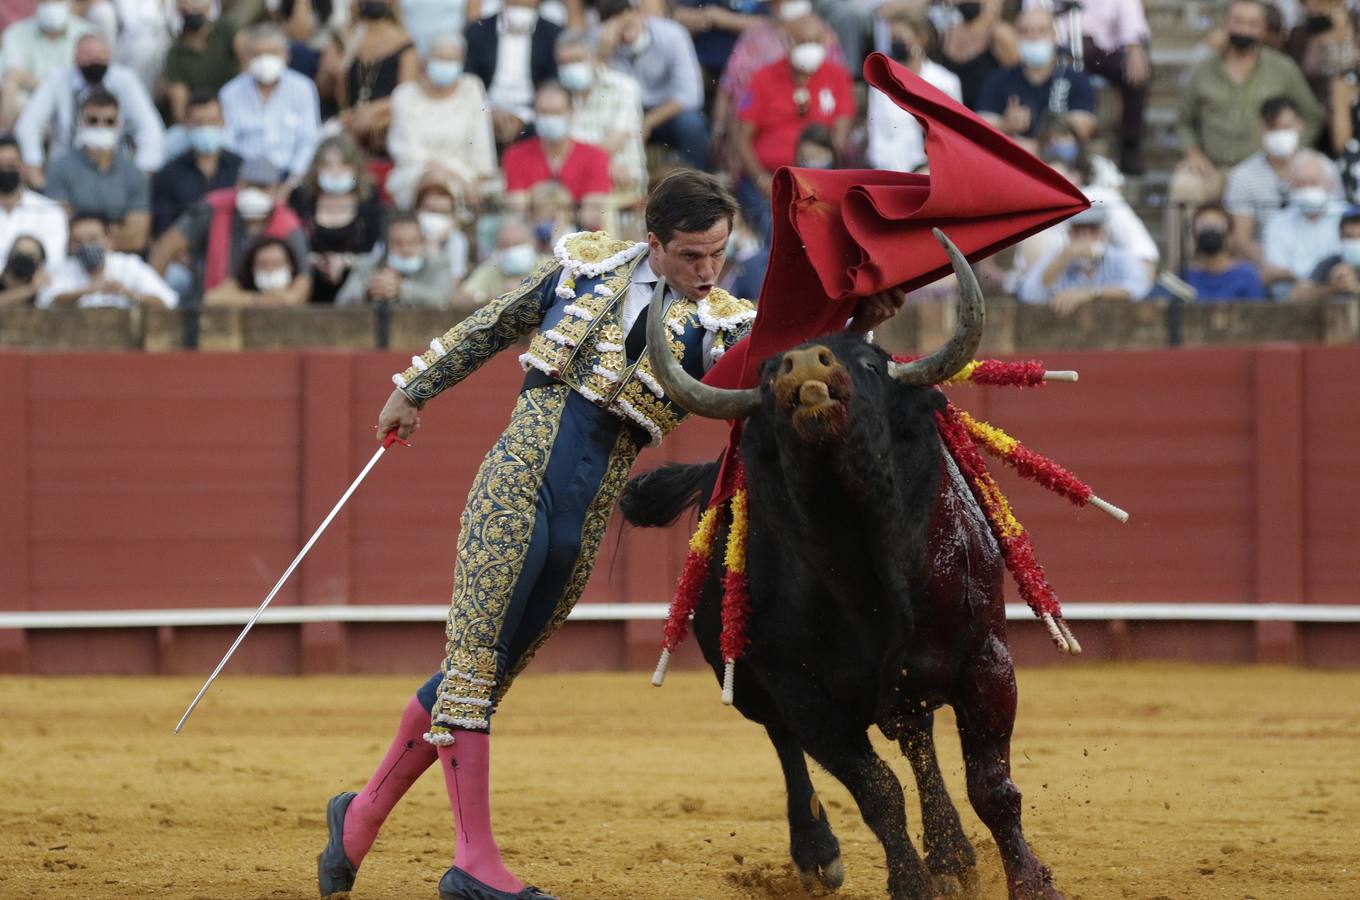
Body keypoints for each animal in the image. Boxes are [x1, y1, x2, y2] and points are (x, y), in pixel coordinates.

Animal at [622, 233, 1066, 900]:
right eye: (767, 376)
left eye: (871, 365)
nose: (805, 362)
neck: (865, 554)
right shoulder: (805, 695)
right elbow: (876, 792)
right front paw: (910, 884)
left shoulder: (987, 660)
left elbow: (993, 788)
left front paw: (1031, 883)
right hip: (752, 683)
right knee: (789, 744)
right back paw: (821, 854)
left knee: (917, 738)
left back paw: (953, 855)